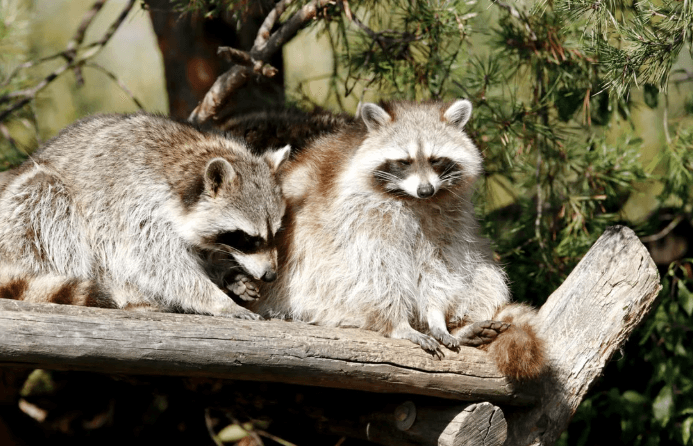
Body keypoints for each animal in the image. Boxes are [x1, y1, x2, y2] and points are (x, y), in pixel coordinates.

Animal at [0, 112, 289, 318]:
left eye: (274, 233)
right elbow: (158, 264)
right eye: (248, 239)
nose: (270, 276)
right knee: (50, 200)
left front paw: (227, 274)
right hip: (18, 218)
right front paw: (217, 300)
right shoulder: (137, 203)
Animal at [251, 100, 546, 380]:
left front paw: (436, 317)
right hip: (309, 290)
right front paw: (399, 324)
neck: (414, 201)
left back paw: (459, 327)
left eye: (436, 160)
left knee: (485, 273)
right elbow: (375, 273)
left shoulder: (448, 224)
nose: (426, 190)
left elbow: (438, 268)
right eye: (404, 162)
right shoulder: (358, 220)